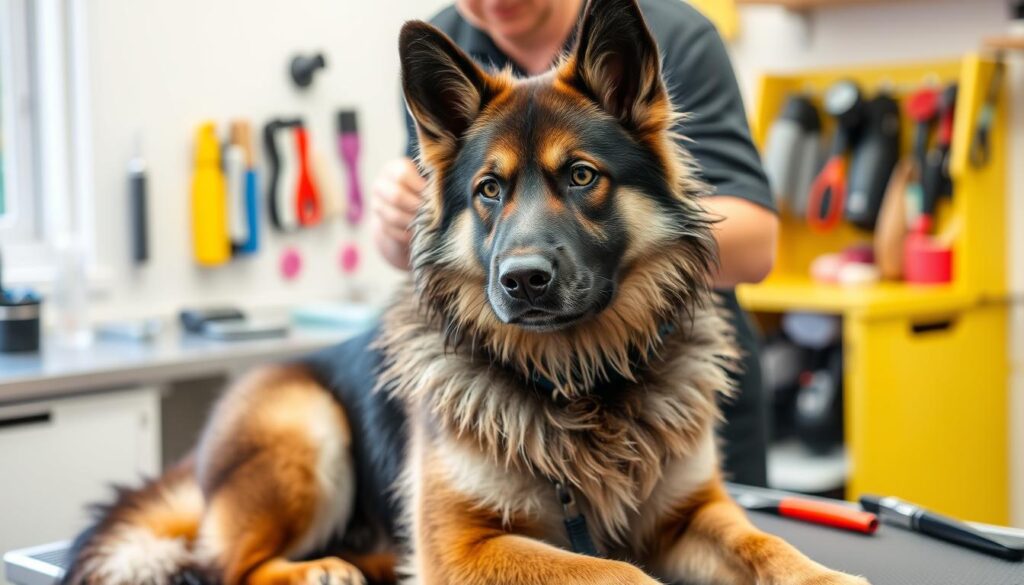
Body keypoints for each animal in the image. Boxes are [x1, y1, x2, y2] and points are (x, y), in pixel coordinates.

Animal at [64, 1, 868, 585]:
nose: (522, 280)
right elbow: (613, 571)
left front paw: (826, 577)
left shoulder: (693, 510)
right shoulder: (462, 544)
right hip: (309, 426)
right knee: (223, 564)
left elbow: (768, 544)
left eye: (582, 175)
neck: (577, 381)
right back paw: (320, 568)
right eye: (489, 191)